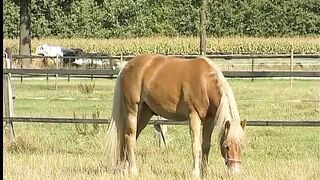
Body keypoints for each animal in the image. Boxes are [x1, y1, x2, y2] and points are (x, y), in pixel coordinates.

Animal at [105, 53, 245, 177]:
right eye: (226, 146)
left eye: (242, 146)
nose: (235, 173)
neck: (205, 83)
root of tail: (127, 65)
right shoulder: (194, 117)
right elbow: (196, 147)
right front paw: (195, 173)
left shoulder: (209, 121)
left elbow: (205, 147)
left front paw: (205, 173)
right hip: (133, 109)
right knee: (129, 138)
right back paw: (133, 171)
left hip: (145, 113)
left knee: (130, 138)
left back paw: (125, 169)